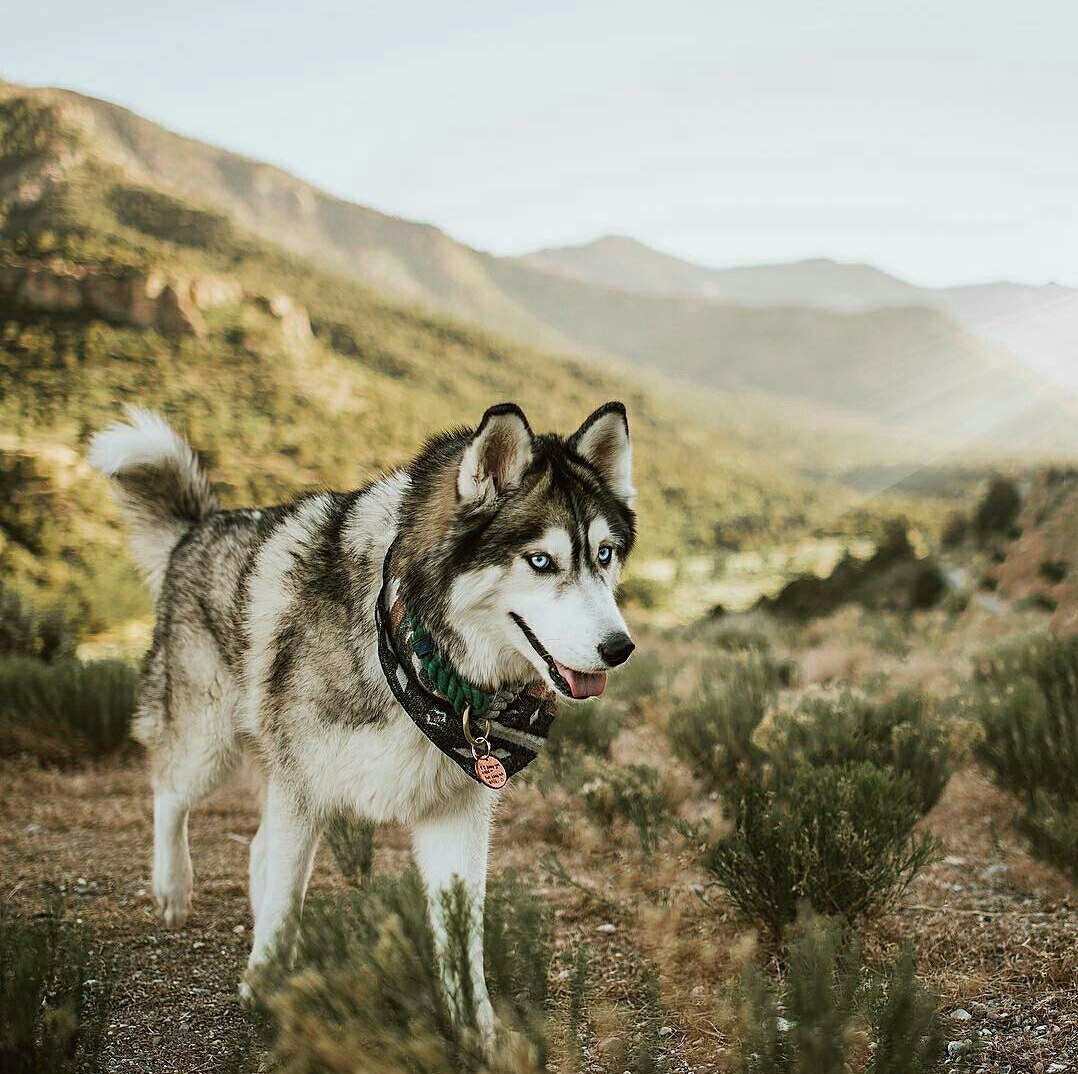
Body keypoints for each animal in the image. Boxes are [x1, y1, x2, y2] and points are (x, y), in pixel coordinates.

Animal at [90, 398, 638, 1035]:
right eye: (542, 561)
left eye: (604, 554)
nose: (619, 648)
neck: (424, 659)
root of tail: (198, 527)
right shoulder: (301, 787)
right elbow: (285, 901)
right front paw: (265, 986)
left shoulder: (456, 809)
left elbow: (460, 936)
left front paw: (475, 1030)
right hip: (207, 741)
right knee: (169, 794)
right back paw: (173, 887)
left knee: (255, 846)